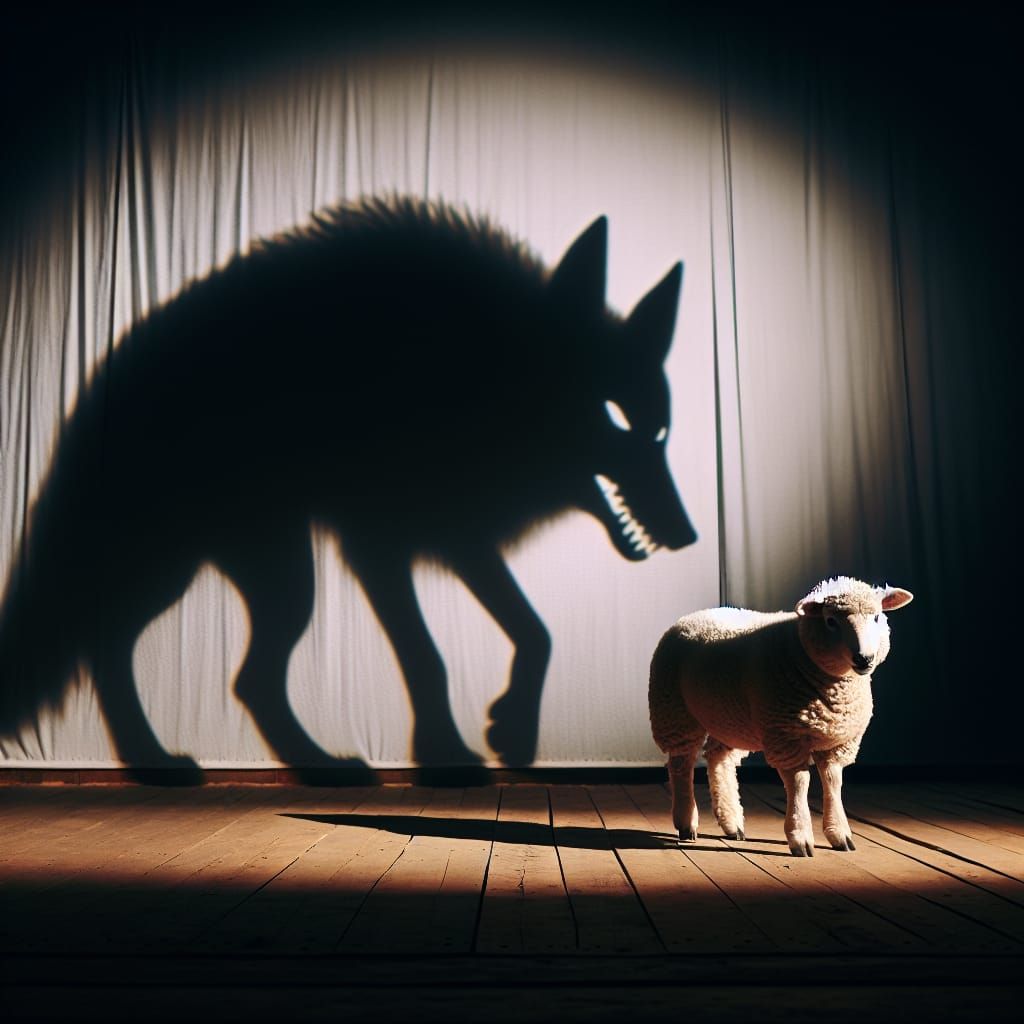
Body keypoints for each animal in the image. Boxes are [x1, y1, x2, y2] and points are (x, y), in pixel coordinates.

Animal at [648, 577, 913, 856]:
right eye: (830, 620)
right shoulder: (785, 736)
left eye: (877, 617)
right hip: (674, 711)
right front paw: (800, 837)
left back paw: (732, 823)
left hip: (731, 719)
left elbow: (833, 781)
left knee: (718, 759)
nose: (864, 658)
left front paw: (840, 834)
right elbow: (799, 782)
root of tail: (693, 616)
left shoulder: (837, 740)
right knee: (681, 764)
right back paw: (687, 822)